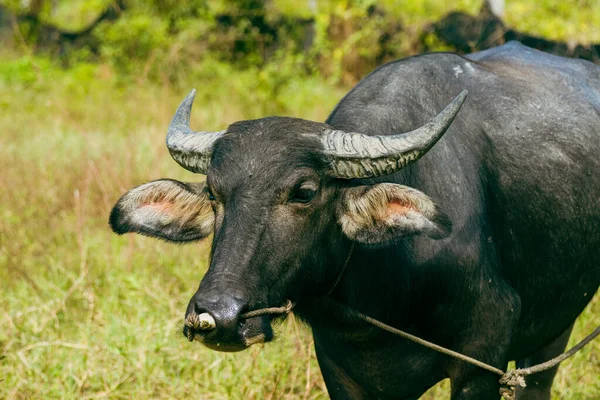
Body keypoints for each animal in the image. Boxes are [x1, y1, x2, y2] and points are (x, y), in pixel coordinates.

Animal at [111, 42, 600, 398]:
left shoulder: (480, 362)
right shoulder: (341, 372)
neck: (385, 287)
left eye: (304, 192)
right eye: (214, 193)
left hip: (552, 332)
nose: (217, 315)